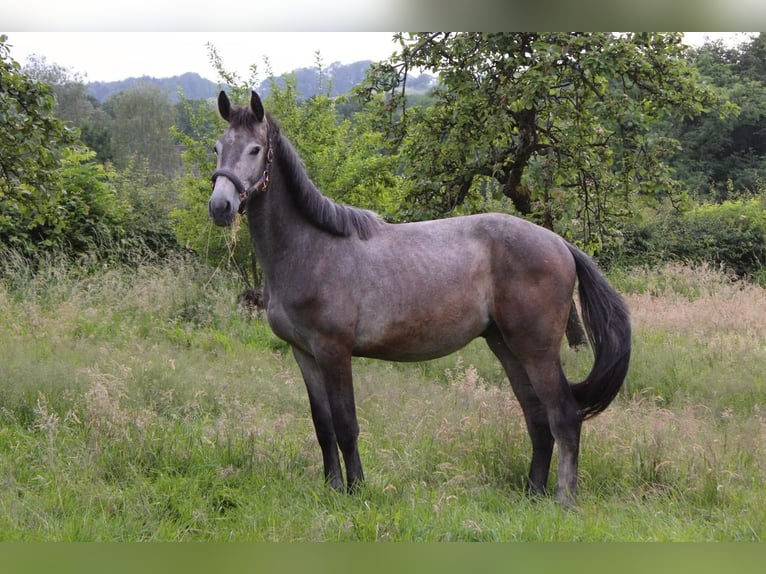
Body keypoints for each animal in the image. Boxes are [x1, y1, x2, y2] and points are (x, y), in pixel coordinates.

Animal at [207, 91, 632, 508]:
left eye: (255, 149)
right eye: (218, 147)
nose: (220, 206)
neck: (310, 248)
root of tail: (559, 242)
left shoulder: (333, 351)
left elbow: (346, 424)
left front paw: (356, 490)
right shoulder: (304, 353)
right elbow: (322, 425)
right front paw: (332, 488)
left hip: (537, 350)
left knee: (564, 416)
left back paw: (563, 500)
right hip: (507, 347)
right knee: (537, 418)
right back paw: (533, 493)